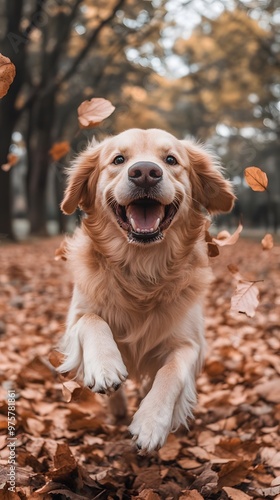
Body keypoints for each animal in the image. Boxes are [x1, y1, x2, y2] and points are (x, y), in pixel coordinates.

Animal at [58, 127, 235, 452]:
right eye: (118, 159)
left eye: (171, 160)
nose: (144, 173)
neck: (142, 269)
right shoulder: (74, 320)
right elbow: (93, 320)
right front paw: (105, 366)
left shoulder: (190, 344)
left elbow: (171, 371)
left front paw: (151, 423)